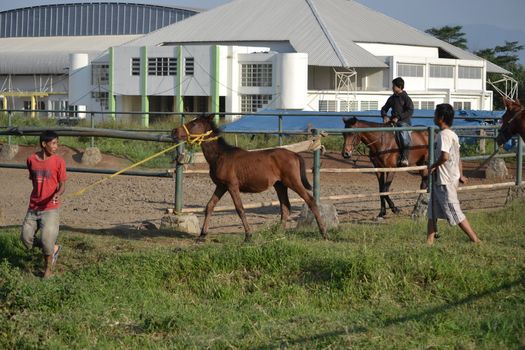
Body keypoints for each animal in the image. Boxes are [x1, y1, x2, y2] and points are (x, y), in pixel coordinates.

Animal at [173, 116, 328, 242]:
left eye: (194, 123)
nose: (174, 132)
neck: (220, 156)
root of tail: (295, 155)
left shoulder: (232, 185)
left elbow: (240, 208)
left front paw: (248, 235)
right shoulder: (221, 186)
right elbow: (210, 205)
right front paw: (202, 235)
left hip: (293, 181)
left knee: (310, 201)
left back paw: (324, 233)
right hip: (280, 185)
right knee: (285, 207)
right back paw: (278, 234)